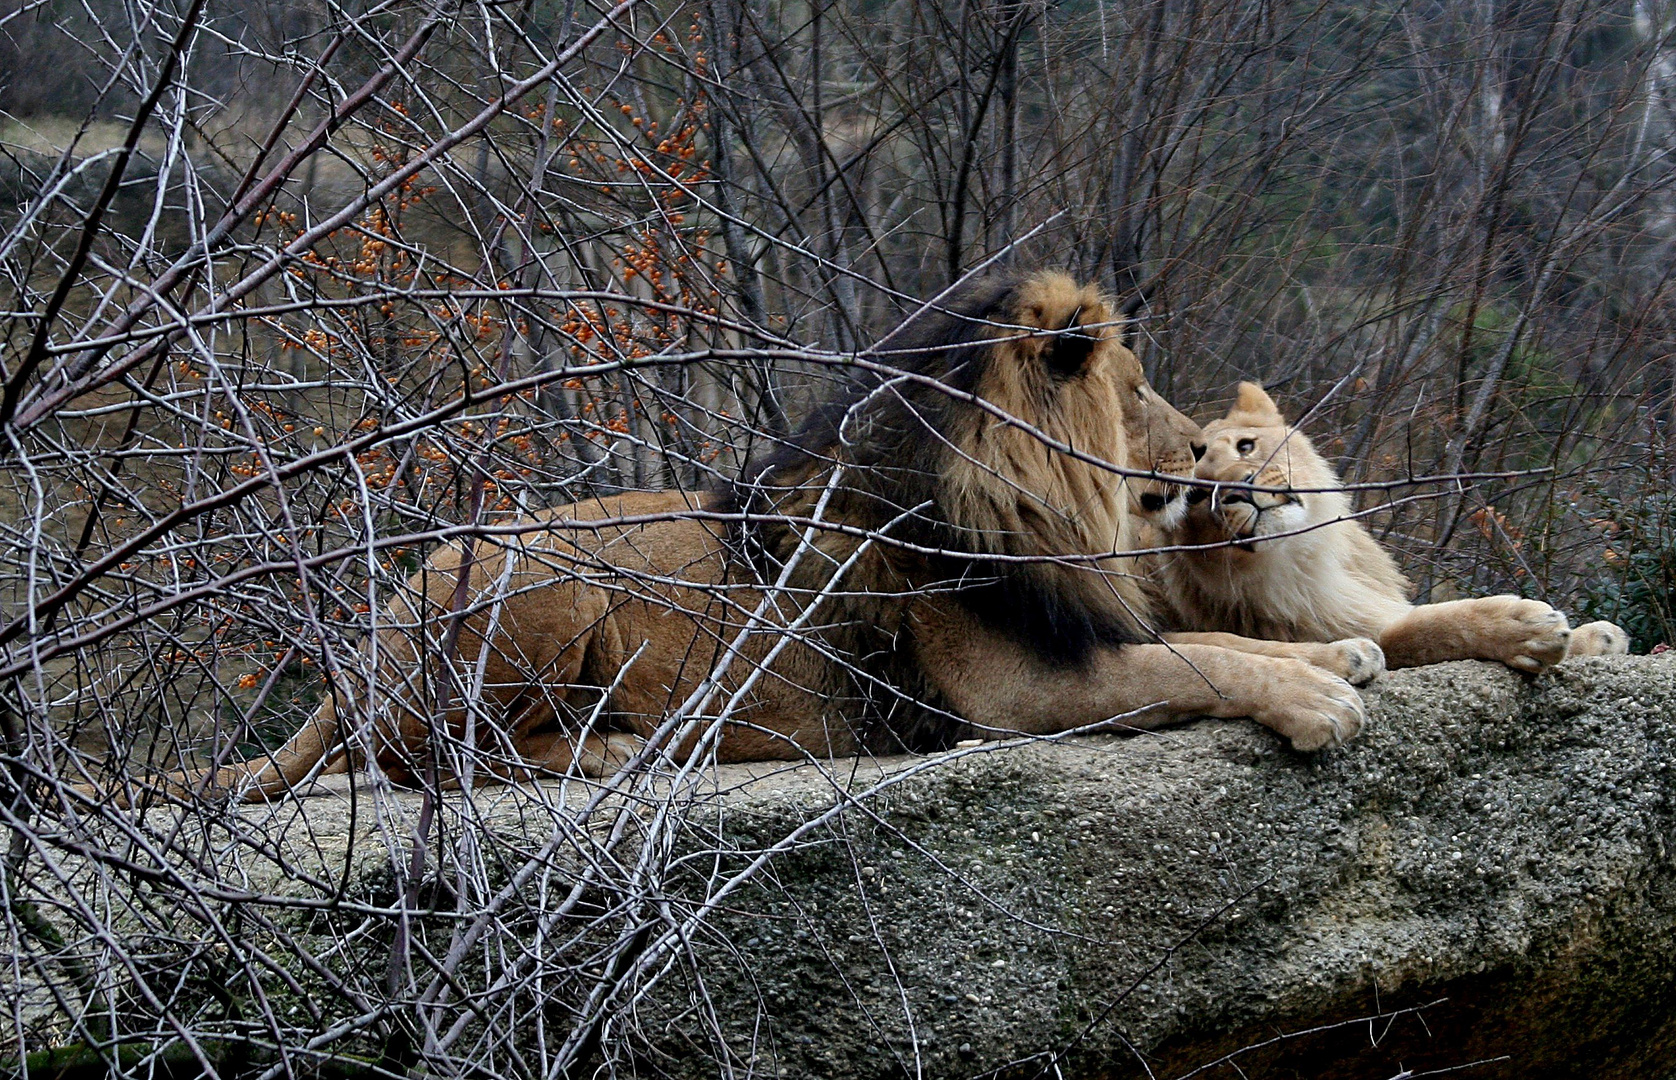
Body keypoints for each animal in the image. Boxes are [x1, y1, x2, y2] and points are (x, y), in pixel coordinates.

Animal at [114, 275, 1374, 804]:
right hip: (548, 582)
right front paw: (1317, 699)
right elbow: (1193, 663)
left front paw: (1336, 657)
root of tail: (363, 634)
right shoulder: (1012, 692)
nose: (1206, 451)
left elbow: (1222, 648)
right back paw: (612, 751)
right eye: (1137, 389)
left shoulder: (1070, 638)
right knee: (423, 756)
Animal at [1146, 379, 1629, 667]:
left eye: (1246, 446)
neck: (1303, 563)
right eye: (1194, 495)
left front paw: (1597, 638)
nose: (1239, 489)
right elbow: (1413, 632)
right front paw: (1527, 626)